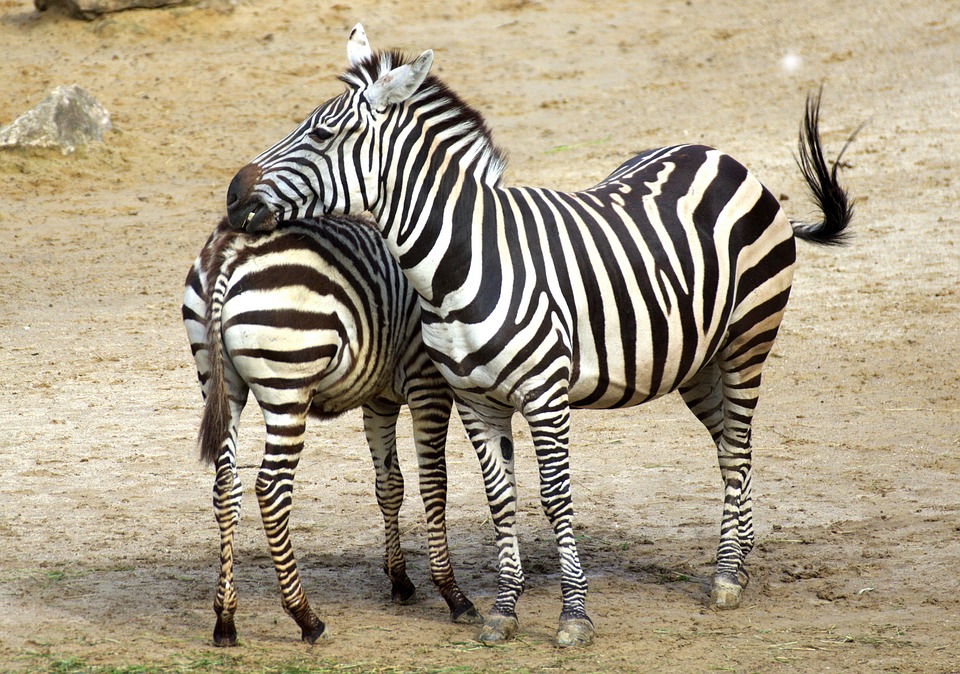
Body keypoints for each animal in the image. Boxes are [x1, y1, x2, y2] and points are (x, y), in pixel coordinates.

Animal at [182, 214, 481, 646]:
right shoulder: (428, 382)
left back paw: (225, 619)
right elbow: (434, 484)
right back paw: (306, 617)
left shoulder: (379, 397)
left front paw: (400, 579)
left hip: (219, 382)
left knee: (226, 488)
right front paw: (452, 593)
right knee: (271, 489)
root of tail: (233, 248)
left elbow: (390, 485)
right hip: (287, 382)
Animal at [222, 26, 855, 647]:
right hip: (696, 360)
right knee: (730, 446)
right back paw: (740, 561)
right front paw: (503, 611)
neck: (460, 261)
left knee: (738, 450)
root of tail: (719, 155)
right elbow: (501, 499)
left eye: (324, 133)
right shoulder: (475, 399)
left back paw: (725, 576)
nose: (232, 195)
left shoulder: (546, 396)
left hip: (748, 341)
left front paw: (574, 616)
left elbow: (554, 496)